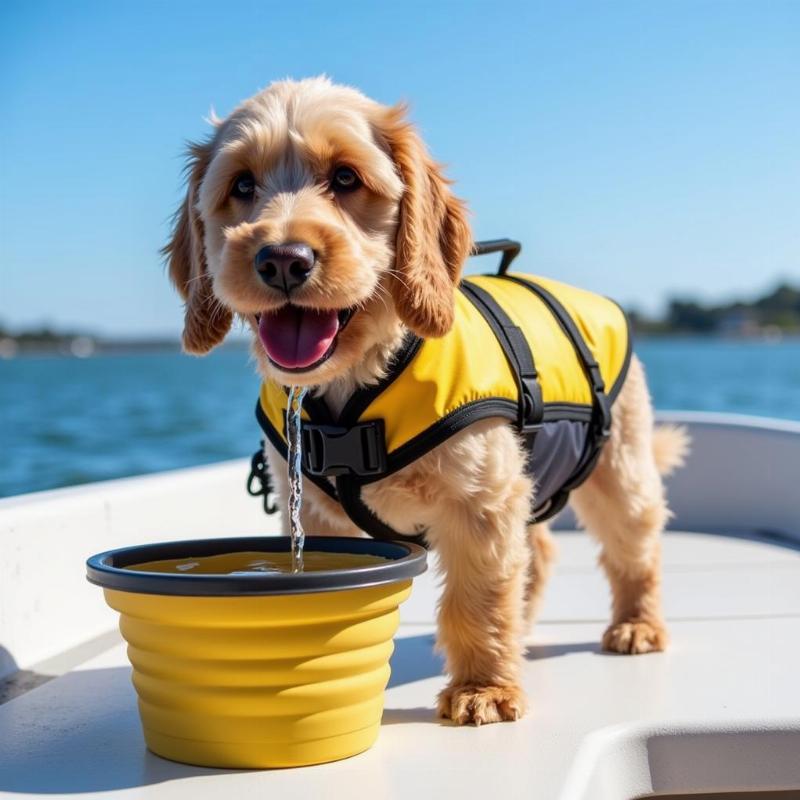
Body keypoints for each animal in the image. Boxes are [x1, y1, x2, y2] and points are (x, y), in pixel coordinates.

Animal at [164, 75, 688, 724]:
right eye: (241, 185)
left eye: (345, 178)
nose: (283, 259)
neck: (353, 389)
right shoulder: (318, 514)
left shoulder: (480, 500)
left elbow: (478, 597)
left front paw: (483, 688)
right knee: (539, 550)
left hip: (619, 466)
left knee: (634, 543)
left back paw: (638, 624)